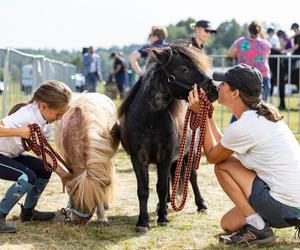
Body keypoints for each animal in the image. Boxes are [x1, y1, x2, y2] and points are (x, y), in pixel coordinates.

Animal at [118, 40, 218, 233]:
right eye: (184, 68)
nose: (214, 89)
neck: (148, 119)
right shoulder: (138, 158)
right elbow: (144, 189)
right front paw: (143, 222)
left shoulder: (164, 157)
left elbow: (162, 187)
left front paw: (162, 218)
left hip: (190, 152)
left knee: (192, 177)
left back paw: (201, 205)